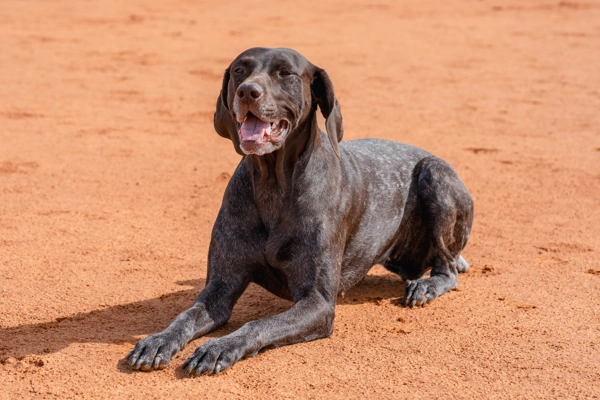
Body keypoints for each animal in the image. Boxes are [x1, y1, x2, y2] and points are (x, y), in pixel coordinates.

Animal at [127, 47, 474, 376]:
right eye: (240, 70)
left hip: (436, 175)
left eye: (285, 73)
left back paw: (426, 286)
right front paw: (158, 340)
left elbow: (257, 324)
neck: (273, 185)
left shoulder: (317, 302)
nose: (247, 92)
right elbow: (185, 316)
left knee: (448, 269)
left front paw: (217, 347)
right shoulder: (219, 288)